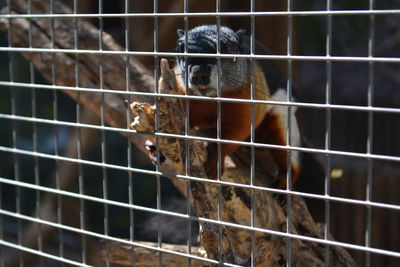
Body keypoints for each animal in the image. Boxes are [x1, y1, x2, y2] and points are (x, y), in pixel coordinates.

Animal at [173, 25, 300, 186]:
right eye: (180, 51)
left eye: (232, 50)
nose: (199, 72)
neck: (211, 98)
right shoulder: (181, 92)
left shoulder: (246, 106)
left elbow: (234, 135)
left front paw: (215, 161)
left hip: (282, 122)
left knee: (289, 158)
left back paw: (283, 181)